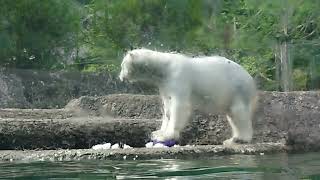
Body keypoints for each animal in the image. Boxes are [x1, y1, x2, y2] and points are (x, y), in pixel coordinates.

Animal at [119, 48, 258, 146]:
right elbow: (167, 109)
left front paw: (168, 135)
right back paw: (231, 139)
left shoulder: (178, 78)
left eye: (122, 65)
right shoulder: (164, 85)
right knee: (232, 116)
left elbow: (179, 107)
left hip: (237, 90)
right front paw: (158, 133)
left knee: (239, 114)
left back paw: (239, 139)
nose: (120, 77)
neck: (164, 67)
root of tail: (251, 79)